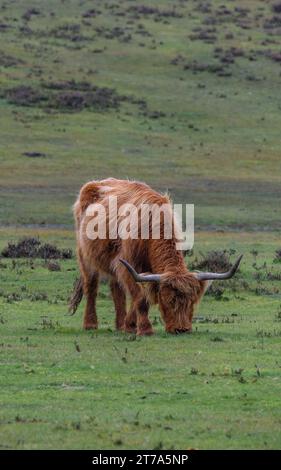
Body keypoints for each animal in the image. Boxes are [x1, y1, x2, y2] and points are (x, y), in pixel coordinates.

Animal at [69, 178, 241, 336]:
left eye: (192, 301)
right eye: (167, 300)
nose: (181, 329)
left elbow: (139, 295)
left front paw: (130, 325)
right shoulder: (128, 266)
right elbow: (140, 297)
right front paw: (144, 329)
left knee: (116, 289)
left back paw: (120, 324)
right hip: (85, 256)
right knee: (91, 287)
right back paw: (90, 324)